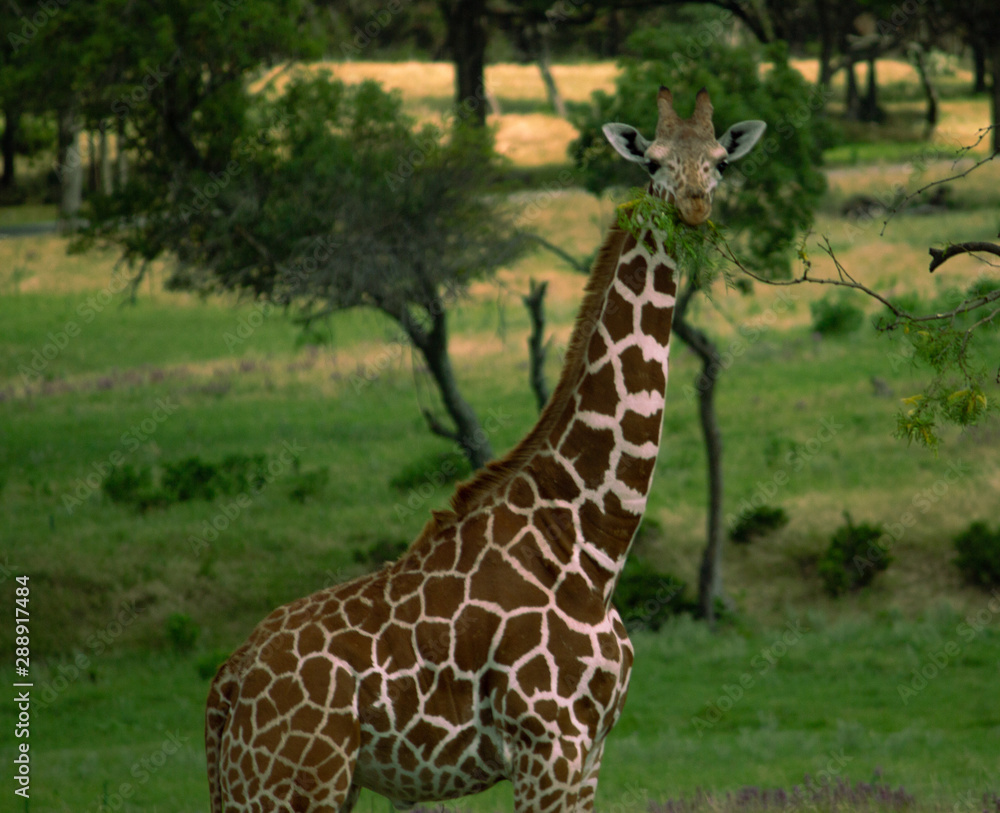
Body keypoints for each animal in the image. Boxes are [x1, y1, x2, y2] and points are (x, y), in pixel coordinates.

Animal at [205, 87, 765, 813]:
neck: (590, 547)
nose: (693, 209)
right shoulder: (546, 747)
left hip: (278, 786)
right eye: (653, 162)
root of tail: (225, 686)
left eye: (721, 162)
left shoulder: (590, 754)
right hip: (292, 787)